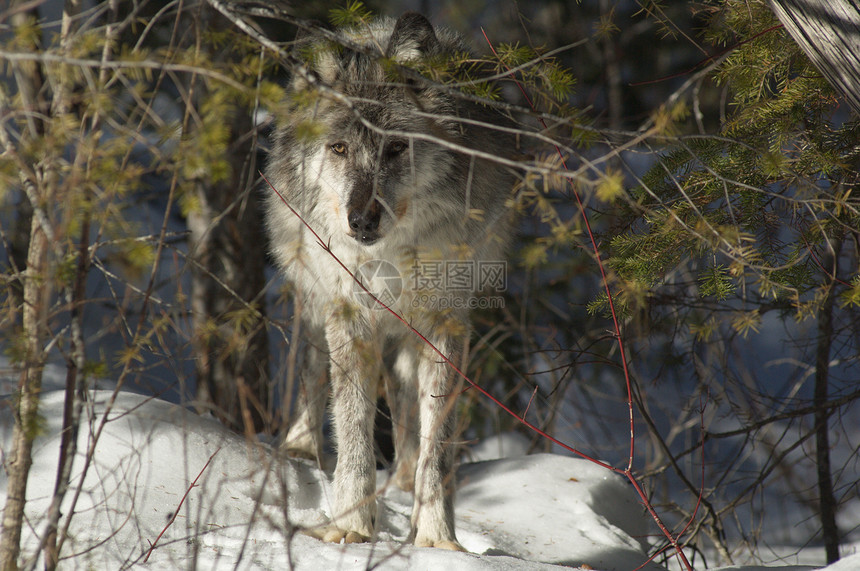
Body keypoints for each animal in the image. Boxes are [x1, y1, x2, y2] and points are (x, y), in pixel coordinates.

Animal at [266, 12, 512, 548]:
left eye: (396, 148)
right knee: (312, 375)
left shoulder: (446, 322)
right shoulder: (351, 315)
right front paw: (352, 526)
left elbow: (437, 443)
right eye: (339, 148)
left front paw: (437, 537)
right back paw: (299, 449)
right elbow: (353, 429)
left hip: (407, 335)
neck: (392, 258)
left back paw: (402, 487)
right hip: (315, 302)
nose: (361, 220)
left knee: (406, 414)